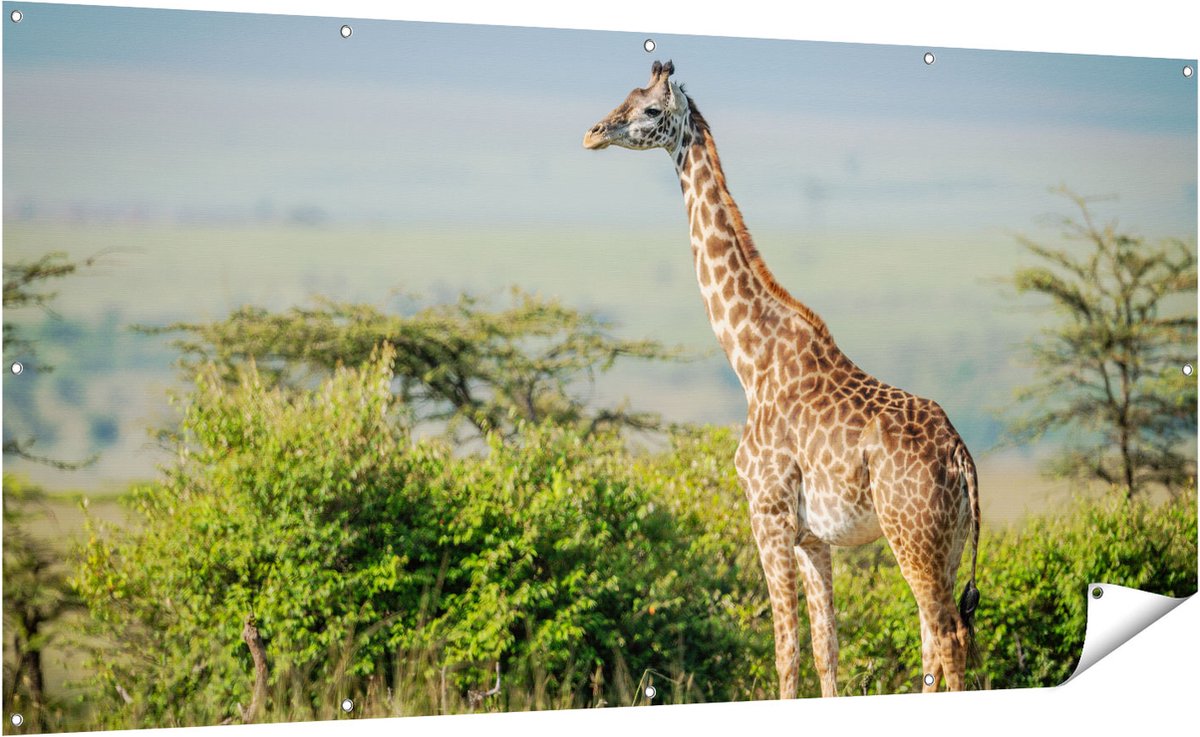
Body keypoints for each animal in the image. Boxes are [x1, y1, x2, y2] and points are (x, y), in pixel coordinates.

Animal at [584, 61, 981, 698]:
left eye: (649, 110)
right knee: (941, 639)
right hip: (945, 544)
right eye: (625, 94)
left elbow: (785, 650)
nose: (593, 133)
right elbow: (825, 650)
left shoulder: (767, 513)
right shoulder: (813, 536)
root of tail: (962, 457)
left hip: (913, 536)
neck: (751, 359)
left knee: (946, 638)